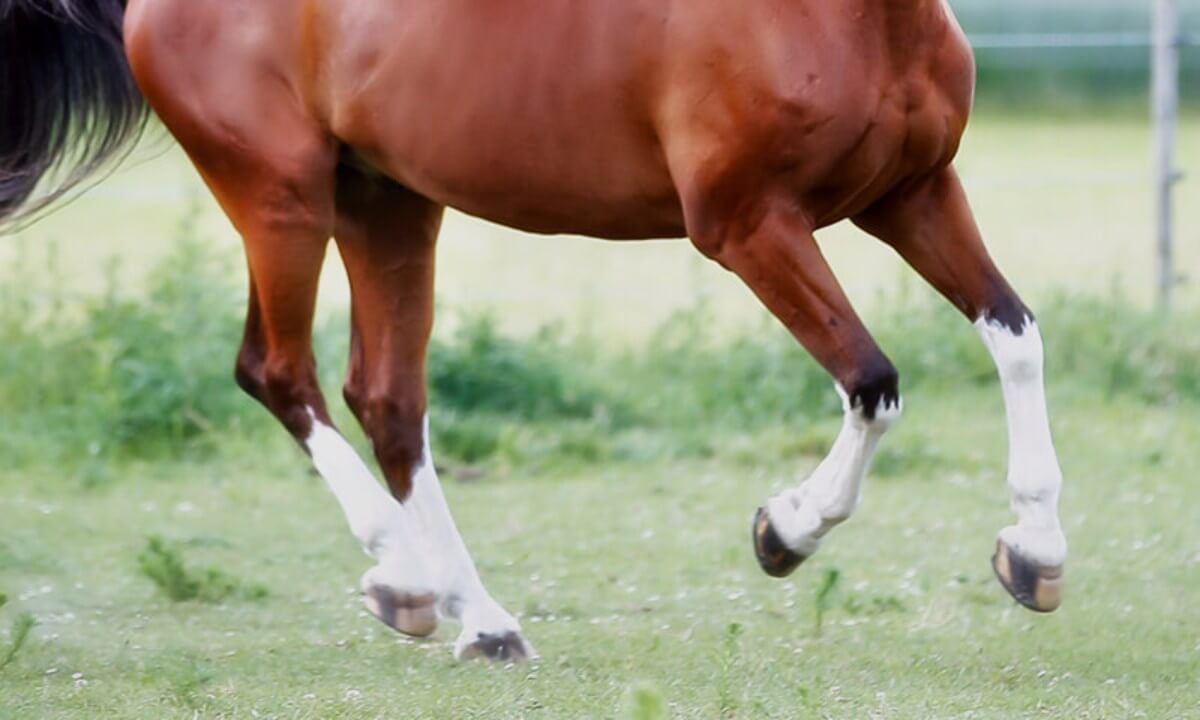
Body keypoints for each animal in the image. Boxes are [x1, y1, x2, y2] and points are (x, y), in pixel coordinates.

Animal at [1, 0, 1067, 662]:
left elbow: (1016, 335)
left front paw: (1035, 555)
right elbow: (872, 381)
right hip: (280, 197)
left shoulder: (912, 193)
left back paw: (463, 613)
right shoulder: (749, 224)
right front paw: (784, 531)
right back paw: (427, 592)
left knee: (386, 401)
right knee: (278, 371)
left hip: (387, 203)